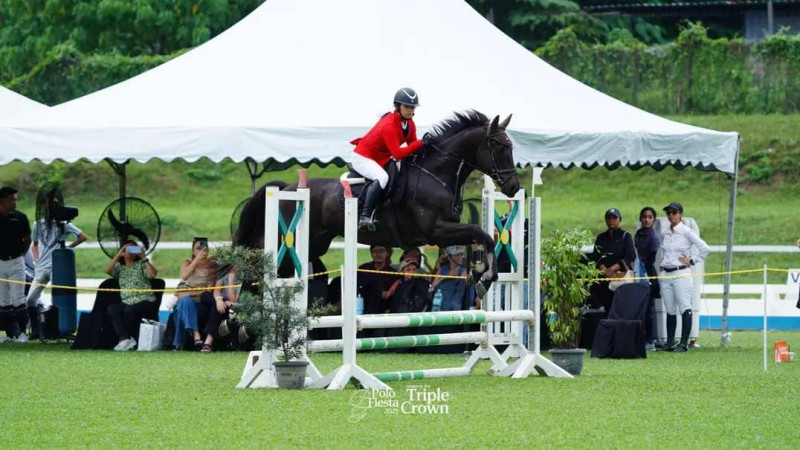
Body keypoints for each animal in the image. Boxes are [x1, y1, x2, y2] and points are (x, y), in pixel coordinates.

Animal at [234, 110, 521, 297]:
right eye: (497, 145)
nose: (513, 187)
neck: (436, 174)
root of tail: (288, 188)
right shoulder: (435, 231)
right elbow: (481, 233)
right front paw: (484, 277)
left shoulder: (445, 231)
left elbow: (480, 238)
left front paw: (479, 276)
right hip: (286, 237)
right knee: (259, 264)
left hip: (315, 243)